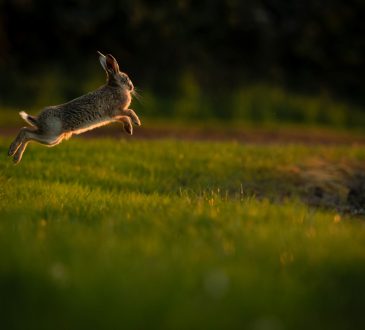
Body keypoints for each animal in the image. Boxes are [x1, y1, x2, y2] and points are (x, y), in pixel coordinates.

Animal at [8, 51, 141, 164]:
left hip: (52, 139)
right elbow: (130, 112)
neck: (115, 87)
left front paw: (129, 129)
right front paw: (137, 122)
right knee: (26, 133)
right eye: (126, 78)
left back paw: (15, 157)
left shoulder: (113, 116)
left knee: (26, 132)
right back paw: (12, 153)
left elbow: (124, 118)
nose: (132, 87)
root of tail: (38, 119)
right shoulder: (115, 110)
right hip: (50, 136)